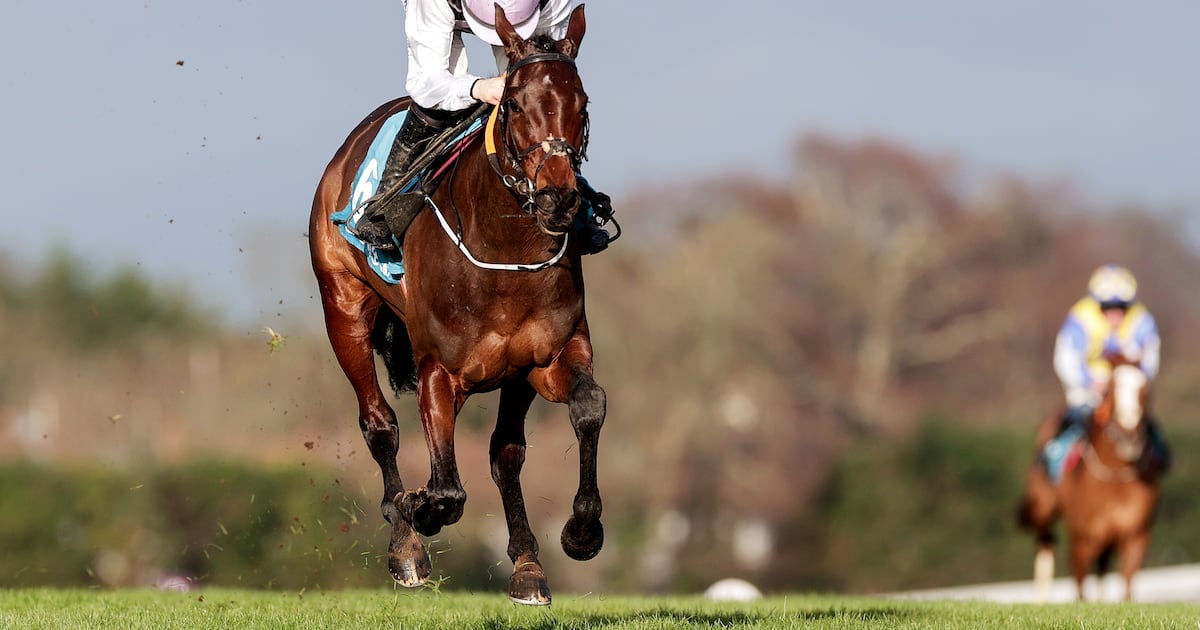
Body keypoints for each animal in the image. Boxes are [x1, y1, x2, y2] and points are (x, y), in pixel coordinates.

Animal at [309, 6, 604, 604]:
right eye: (513, 104)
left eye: (583, 104)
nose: (559, 198)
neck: (505, 250)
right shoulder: (439, 372)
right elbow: (446, 490)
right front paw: (417, 509)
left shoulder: (548, 358)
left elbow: (587, 407)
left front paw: (582, 532)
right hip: (343, 308)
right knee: (379, 425)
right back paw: (406, 549)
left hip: (514, 375)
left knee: (504, 453)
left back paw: (527, 567)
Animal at [1017, 355, 1156, 602]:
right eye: (1110, 389)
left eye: (1145, 390)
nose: (1128, 436)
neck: (1114, 477)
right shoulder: (1081, 539)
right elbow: (1081, 589)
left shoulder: (1136, 533)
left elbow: (1127, 585)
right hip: (1042, 508)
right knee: (1046, 542)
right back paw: (1040, 600)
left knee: (1101, 563)